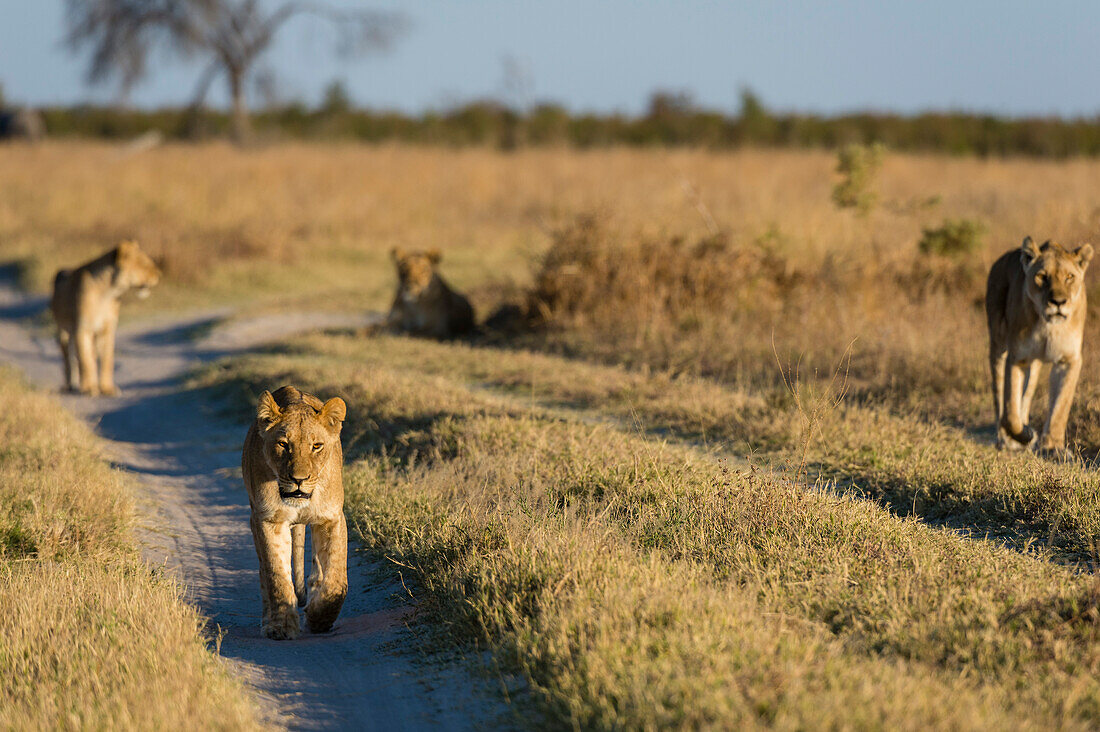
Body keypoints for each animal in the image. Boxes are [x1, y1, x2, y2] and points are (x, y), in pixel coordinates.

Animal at [49, 239, 160, 394]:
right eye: (143, 263)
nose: (159, 275)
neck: (108, 293)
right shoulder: (82, 329)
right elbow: (85, 360)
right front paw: (89, 388)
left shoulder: (108, 329)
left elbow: (107, 359)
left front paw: (107, 388)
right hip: (63, 332)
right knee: (69, 359)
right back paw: (71, 385)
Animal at [244, 385, 347, 638]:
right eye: (283, 444)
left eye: (316, 446)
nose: (298, 480)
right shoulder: (269, 520)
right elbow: (277, 575)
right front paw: (281, 626)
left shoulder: (332, 518)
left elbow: (336, 581)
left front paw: (319, 619)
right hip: (253, 519)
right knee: (263, 571)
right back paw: (267, 619)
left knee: (317, 568)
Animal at [990, 236, 1091, 453]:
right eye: (1042, 276)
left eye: (1069, 277)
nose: (1058, 302)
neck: (1049, 326)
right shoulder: (1017, 358)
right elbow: (1010, 410)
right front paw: (1025, 434)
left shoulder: (1068, 360)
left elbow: (1060, 407)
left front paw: (1053, 448)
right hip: (998, 346)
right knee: (1000, 397)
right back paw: (1006, 439)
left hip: (1034, 365)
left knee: (1026, 397)